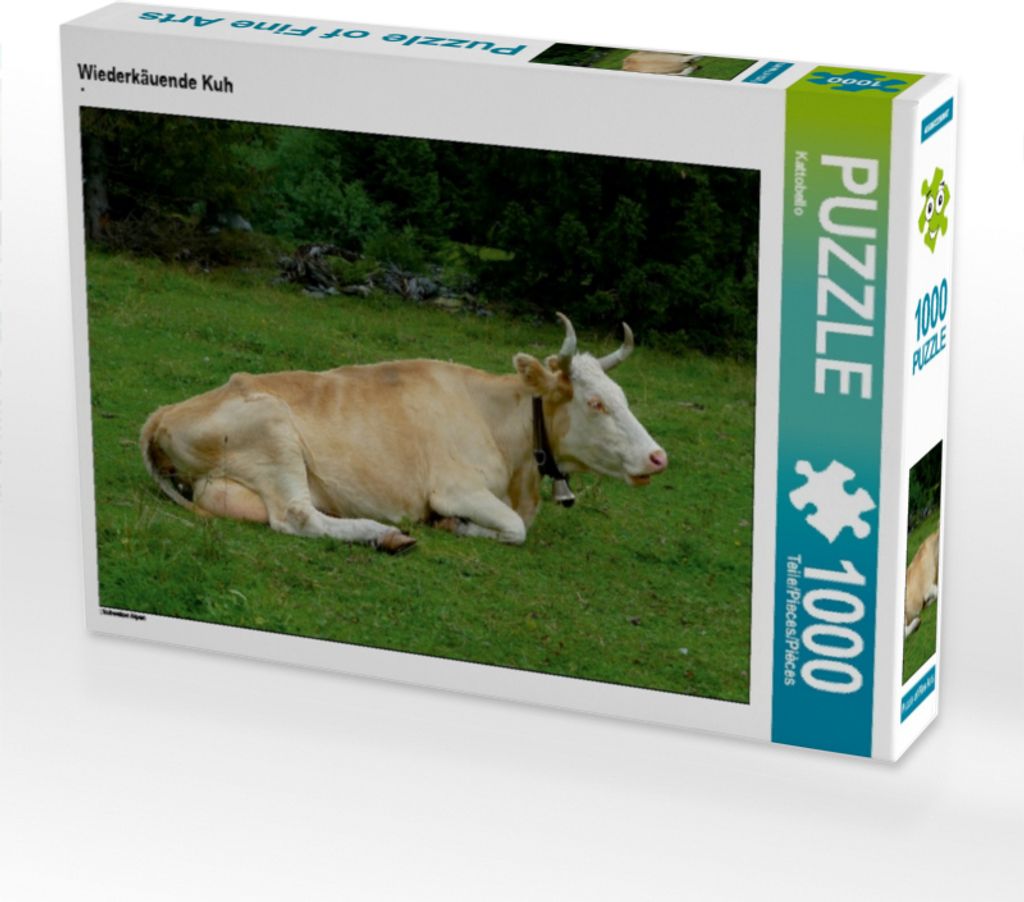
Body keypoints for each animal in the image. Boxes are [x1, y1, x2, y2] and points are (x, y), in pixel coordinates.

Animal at [140, 314, 668, 553]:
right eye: (595, 403)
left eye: (620, 394)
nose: (658, 457)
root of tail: (163, 412)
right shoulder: (456, 488)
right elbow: (515, 531)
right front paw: (453, 526)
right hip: (275, 432)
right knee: (297, 517)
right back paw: (386, 535)